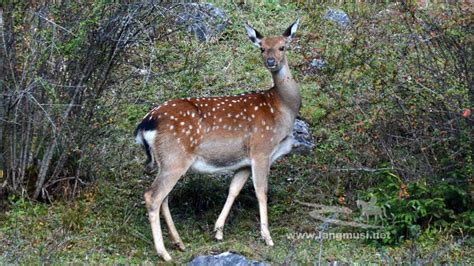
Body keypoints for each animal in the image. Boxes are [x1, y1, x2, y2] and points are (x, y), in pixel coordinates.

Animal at [134, 19, 300, 260]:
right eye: (262, 48)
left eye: (282, 47)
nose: (271, 62)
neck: (283, 109)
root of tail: (145, 124)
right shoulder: (261, 149)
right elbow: (261, 192)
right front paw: (267, 238)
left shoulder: (243, 161)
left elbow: (233, 190)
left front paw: (218, 231)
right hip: (175, 157)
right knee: (152, 196)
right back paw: (164, 253)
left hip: (166, 161)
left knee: (163, 197)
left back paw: (179, 243)